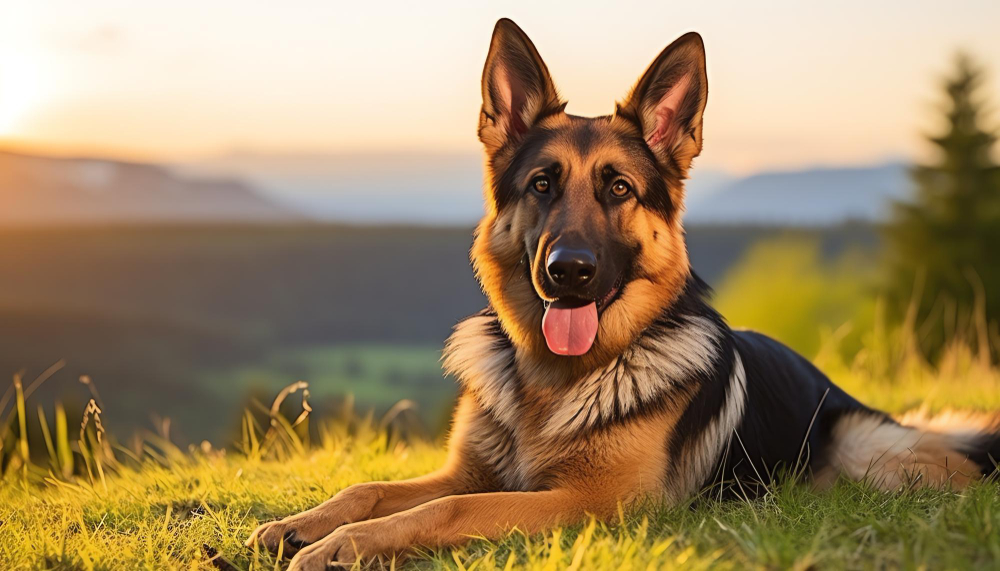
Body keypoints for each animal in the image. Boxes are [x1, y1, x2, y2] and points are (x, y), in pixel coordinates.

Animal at [250, 19, 1000, 571]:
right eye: (542, 184)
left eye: (618, 188)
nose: (569, 271)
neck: (553, 382)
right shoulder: (470, 471)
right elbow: (369, 486)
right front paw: (304, 523)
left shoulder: (590, 502)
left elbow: (444, 510)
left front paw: (344, 545)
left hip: (872, 460)